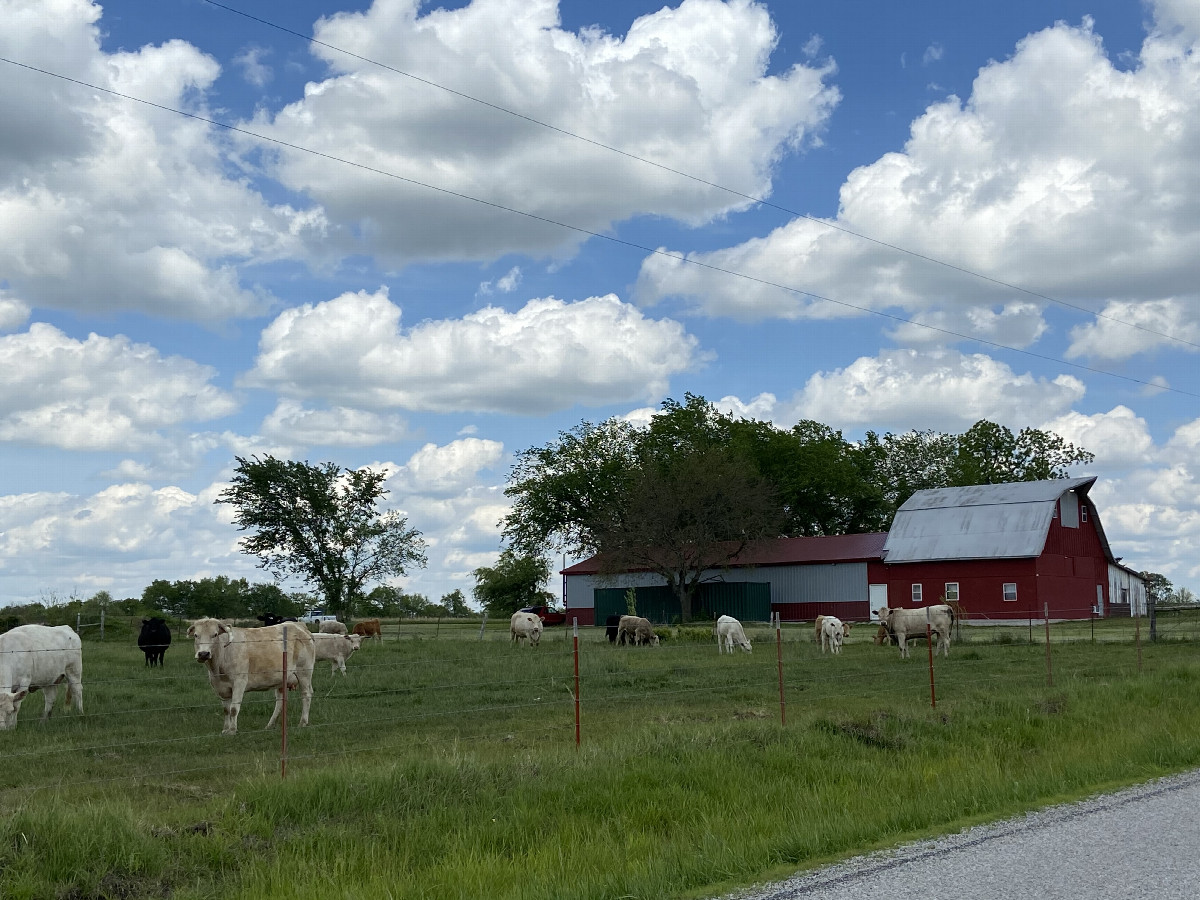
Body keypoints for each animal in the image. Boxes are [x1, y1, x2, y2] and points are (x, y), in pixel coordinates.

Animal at [183, 619, 312, 739]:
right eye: (196, 635)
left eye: (214, 634)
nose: (203, 654)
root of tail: (298, 625)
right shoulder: (220, 687)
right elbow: (226, 710)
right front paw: (225, 729)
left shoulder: (239, 682)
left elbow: (234, 708)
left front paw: (232, 730)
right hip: (281, 679)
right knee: (280, 701)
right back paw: (270, 725)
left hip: (304, 672)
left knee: (306, 695)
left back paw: (303, 722)